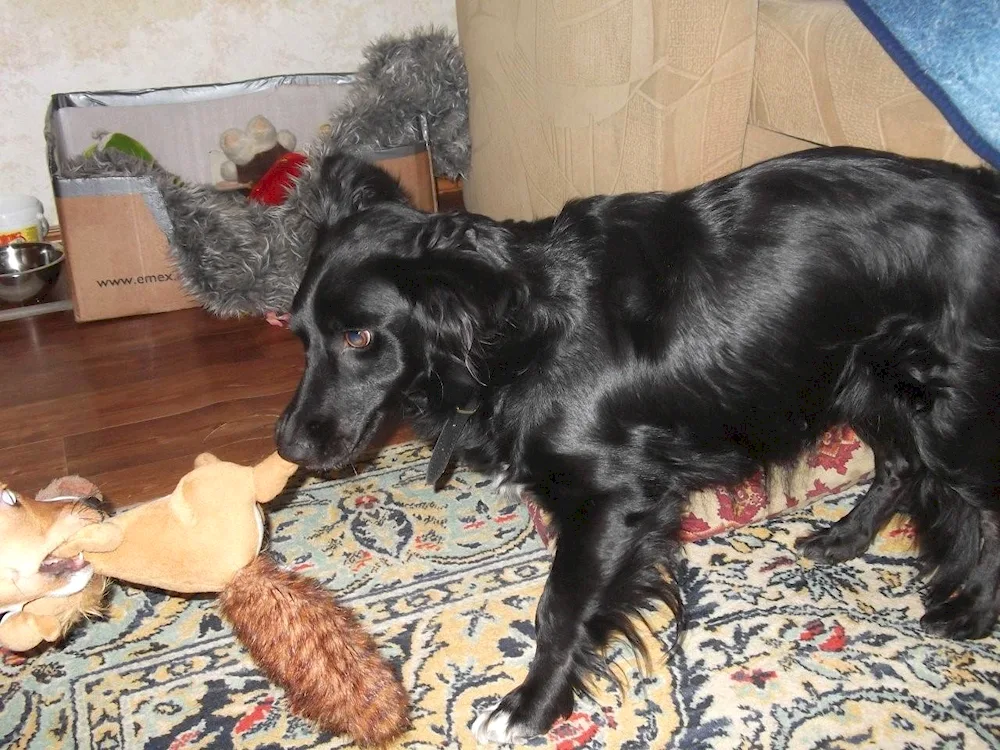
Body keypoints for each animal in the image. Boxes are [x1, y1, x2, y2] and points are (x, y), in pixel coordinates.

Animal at [276, 148, 1000, 748]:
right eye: (300, 334)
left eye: (361, 338)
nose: (286, 444)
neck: (517, 338)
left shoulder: (616, 496)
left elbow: (560, 607)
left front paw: (530, 707)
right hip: (864, 379)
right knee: (901, 465)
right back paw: (844, 539)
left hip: (947, 410)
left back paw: (972, 611)